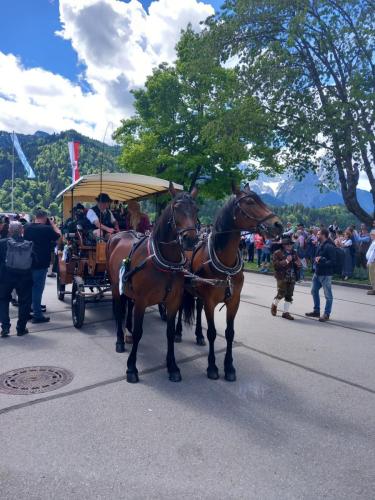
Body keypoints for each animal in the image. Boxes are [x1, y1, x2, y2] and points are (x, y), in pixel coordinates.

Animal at [106, 186, 198, 384]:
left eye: (196, 209)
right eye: (176, 208)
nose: (190, 239)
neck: (165, 262)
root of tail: (117, 235)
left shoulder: (173, 301)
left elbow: (170, 332)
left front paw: (172, 366)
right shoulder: (142, 300)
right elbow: (139, 332)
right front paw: (131, 368)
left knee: (128, 306)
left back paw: (127, 330)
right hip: (116, 285)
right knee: (118, 310)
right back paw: (120, 340)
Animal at [181, 183, 282, 378]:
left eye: (261, 199)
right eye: (250, 202)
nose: (278, 224)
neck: (225, 263)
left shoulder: (234, 301)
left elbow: (229, 333)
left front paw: (229, 367)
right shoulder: (210, 301)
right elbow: (212, 332)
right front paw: (212, 367)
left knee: (197, 308)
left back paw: (198, 336)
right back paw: (177, 333)